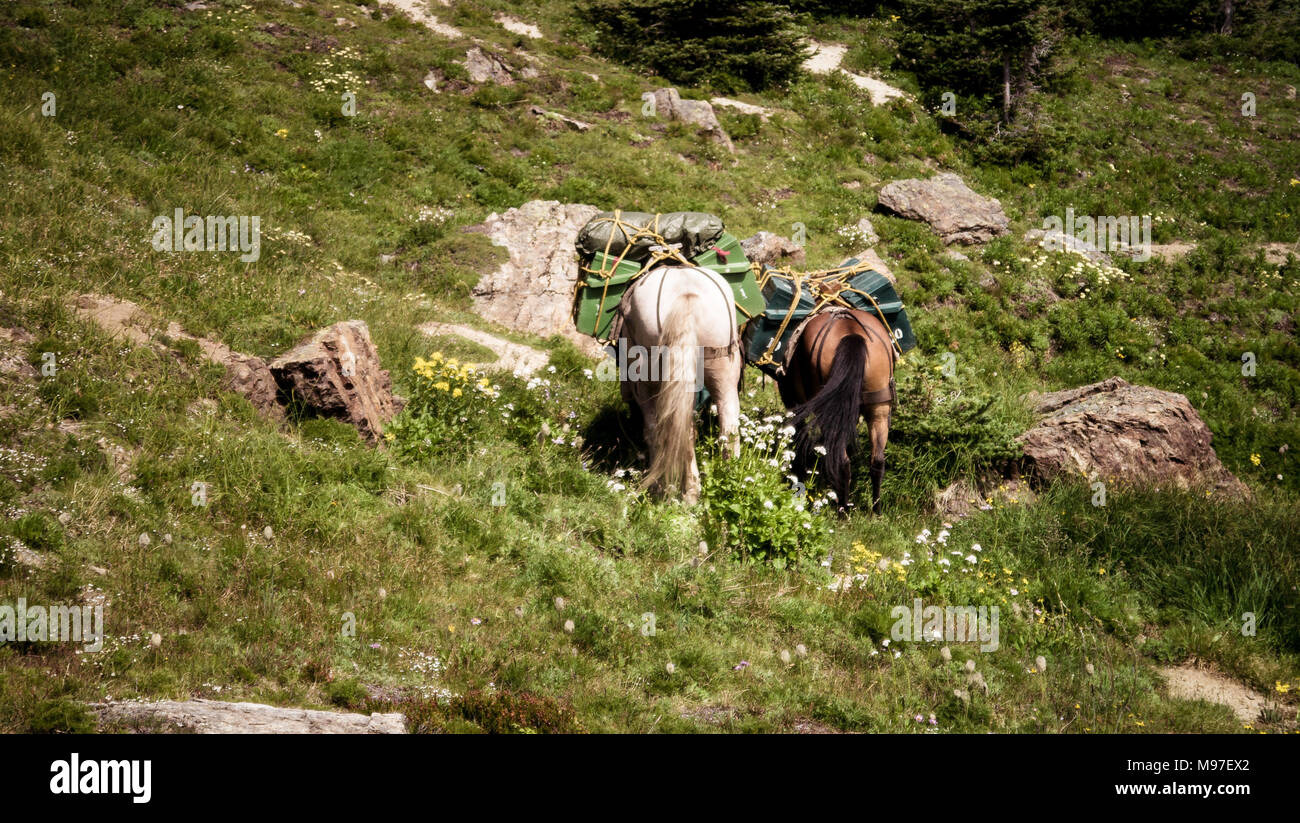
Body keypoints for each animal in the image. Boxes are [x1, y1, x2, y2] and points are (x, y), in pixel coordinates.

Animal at [616, 262, 743, 501]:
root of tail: (687, 295)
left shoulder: (643, 389)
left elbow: (652, 431)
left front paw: (657, 487)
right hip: (724, 371)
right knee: (729, 427)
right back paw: (729, 481)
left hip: (650, 380)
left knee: (673, 432)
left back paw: (686, 493)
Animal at [774, 308, 899, 514]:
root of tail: (852, 332)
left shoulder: (794, 402)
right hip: (878, 408)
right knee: (877, 460)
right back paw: (876, 510)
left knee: (842, 461)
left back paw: (843, 511)